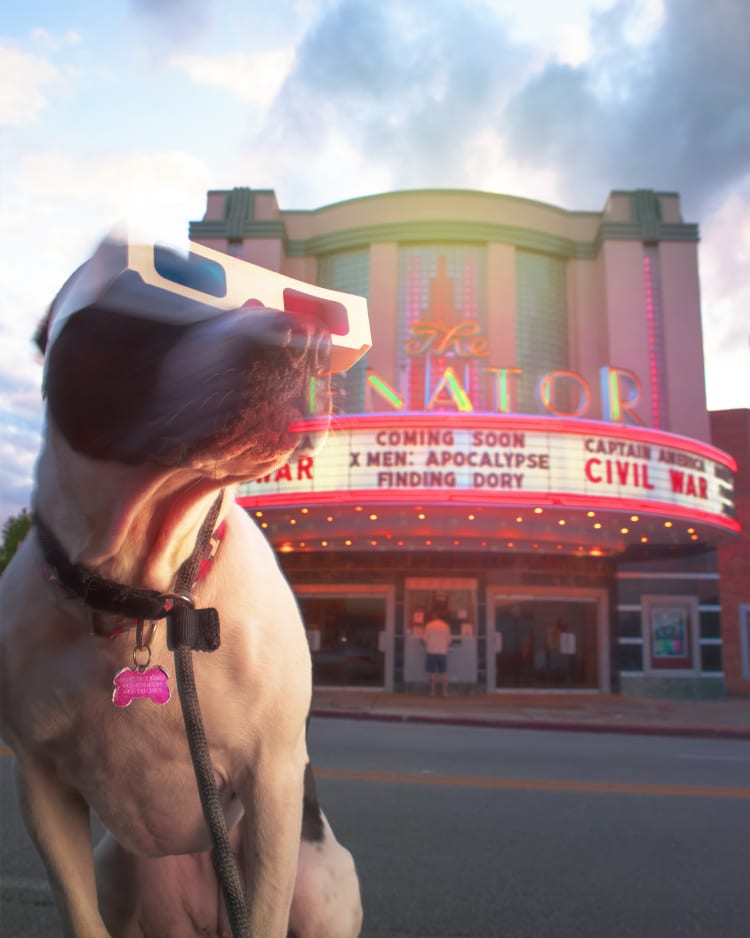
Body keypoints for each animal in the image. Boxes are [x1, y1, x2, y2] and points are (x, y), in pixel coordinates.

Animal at [0, 236, 368, 936]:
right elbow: (79, 913)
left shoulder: (274, 780)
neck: (148, 590)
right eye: (168, 277)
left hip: (317, 880)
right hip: (121, 866)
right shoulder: (41, 785)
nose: (309, 335)